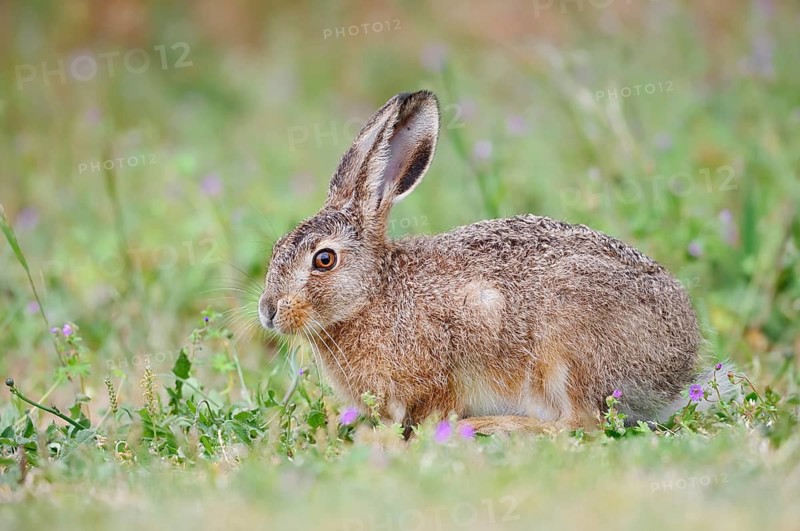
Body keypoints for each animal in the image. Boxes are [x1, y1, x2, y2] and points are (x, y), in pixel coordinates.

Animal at [258, 90, 729, 435]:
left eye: (324, 259)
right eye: (277, 247)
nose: (268, 311)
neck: (373, 294)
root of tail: (676, 369)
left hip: (568, 342)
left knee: (580, 424)